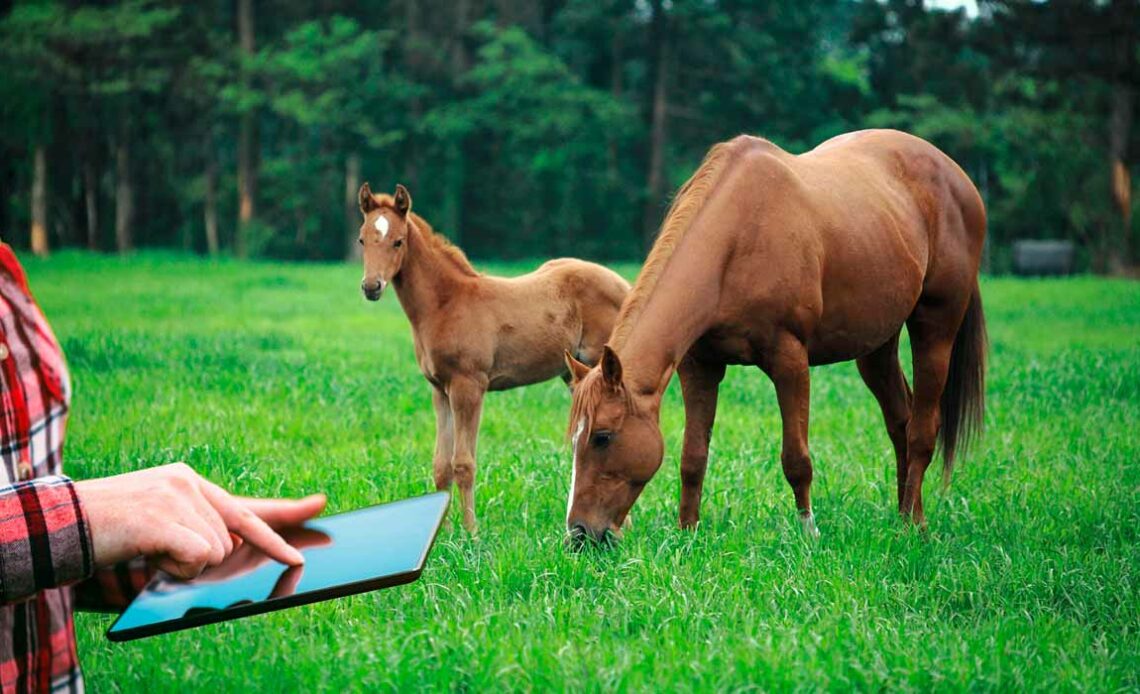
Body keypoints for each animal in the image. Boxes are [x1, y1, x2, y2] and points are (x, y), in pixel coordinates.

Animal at [357, 181, 633, 528]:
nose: (371, 287)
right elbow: (441, 466)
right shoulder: (440, 390)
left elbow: (464, 464)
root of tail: (624, 285)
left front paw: (471, 532)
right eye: (362, 239)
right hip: (576, 375)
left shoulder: (468, 387)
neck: (446, 304)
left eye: (398, 241)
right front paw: (444, 531)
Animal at [565, 129, 984, 542]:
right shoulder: (700, 366)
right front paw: (688, 533)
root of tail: (956, 176)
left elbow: (796, 459)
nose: (579, 534)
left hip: (936, 327)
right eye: (574, 438)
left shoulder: (790, 361)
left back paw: (914, 526)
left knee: (922, 431)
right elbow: (693, 456)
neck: (736, 241)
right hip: (876, 346)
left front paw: (808, 533)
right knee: (900, 422)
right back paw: (901, 517)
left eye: (602, 436)